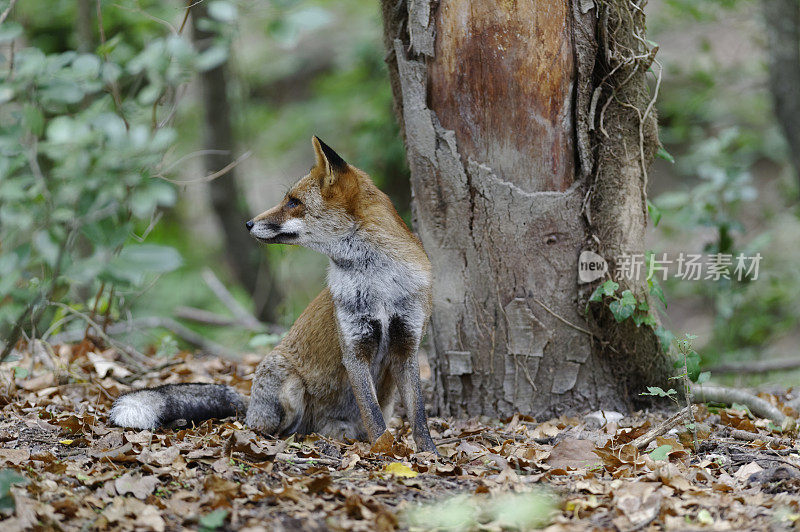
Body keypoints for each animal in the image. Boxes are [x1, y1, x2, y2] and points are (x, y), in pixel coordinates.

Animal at [110, 137, 438, 454]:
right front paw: (385, 451)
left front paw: (428, 453)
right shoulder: (355, 347)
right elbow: (373, 416)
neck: (379, 285)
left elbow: (418, 415)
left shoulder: (407, 345)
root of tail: (250, 406)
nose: (248, 223)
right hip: (288, 386)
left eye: (294, 202)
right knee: (269, 430)